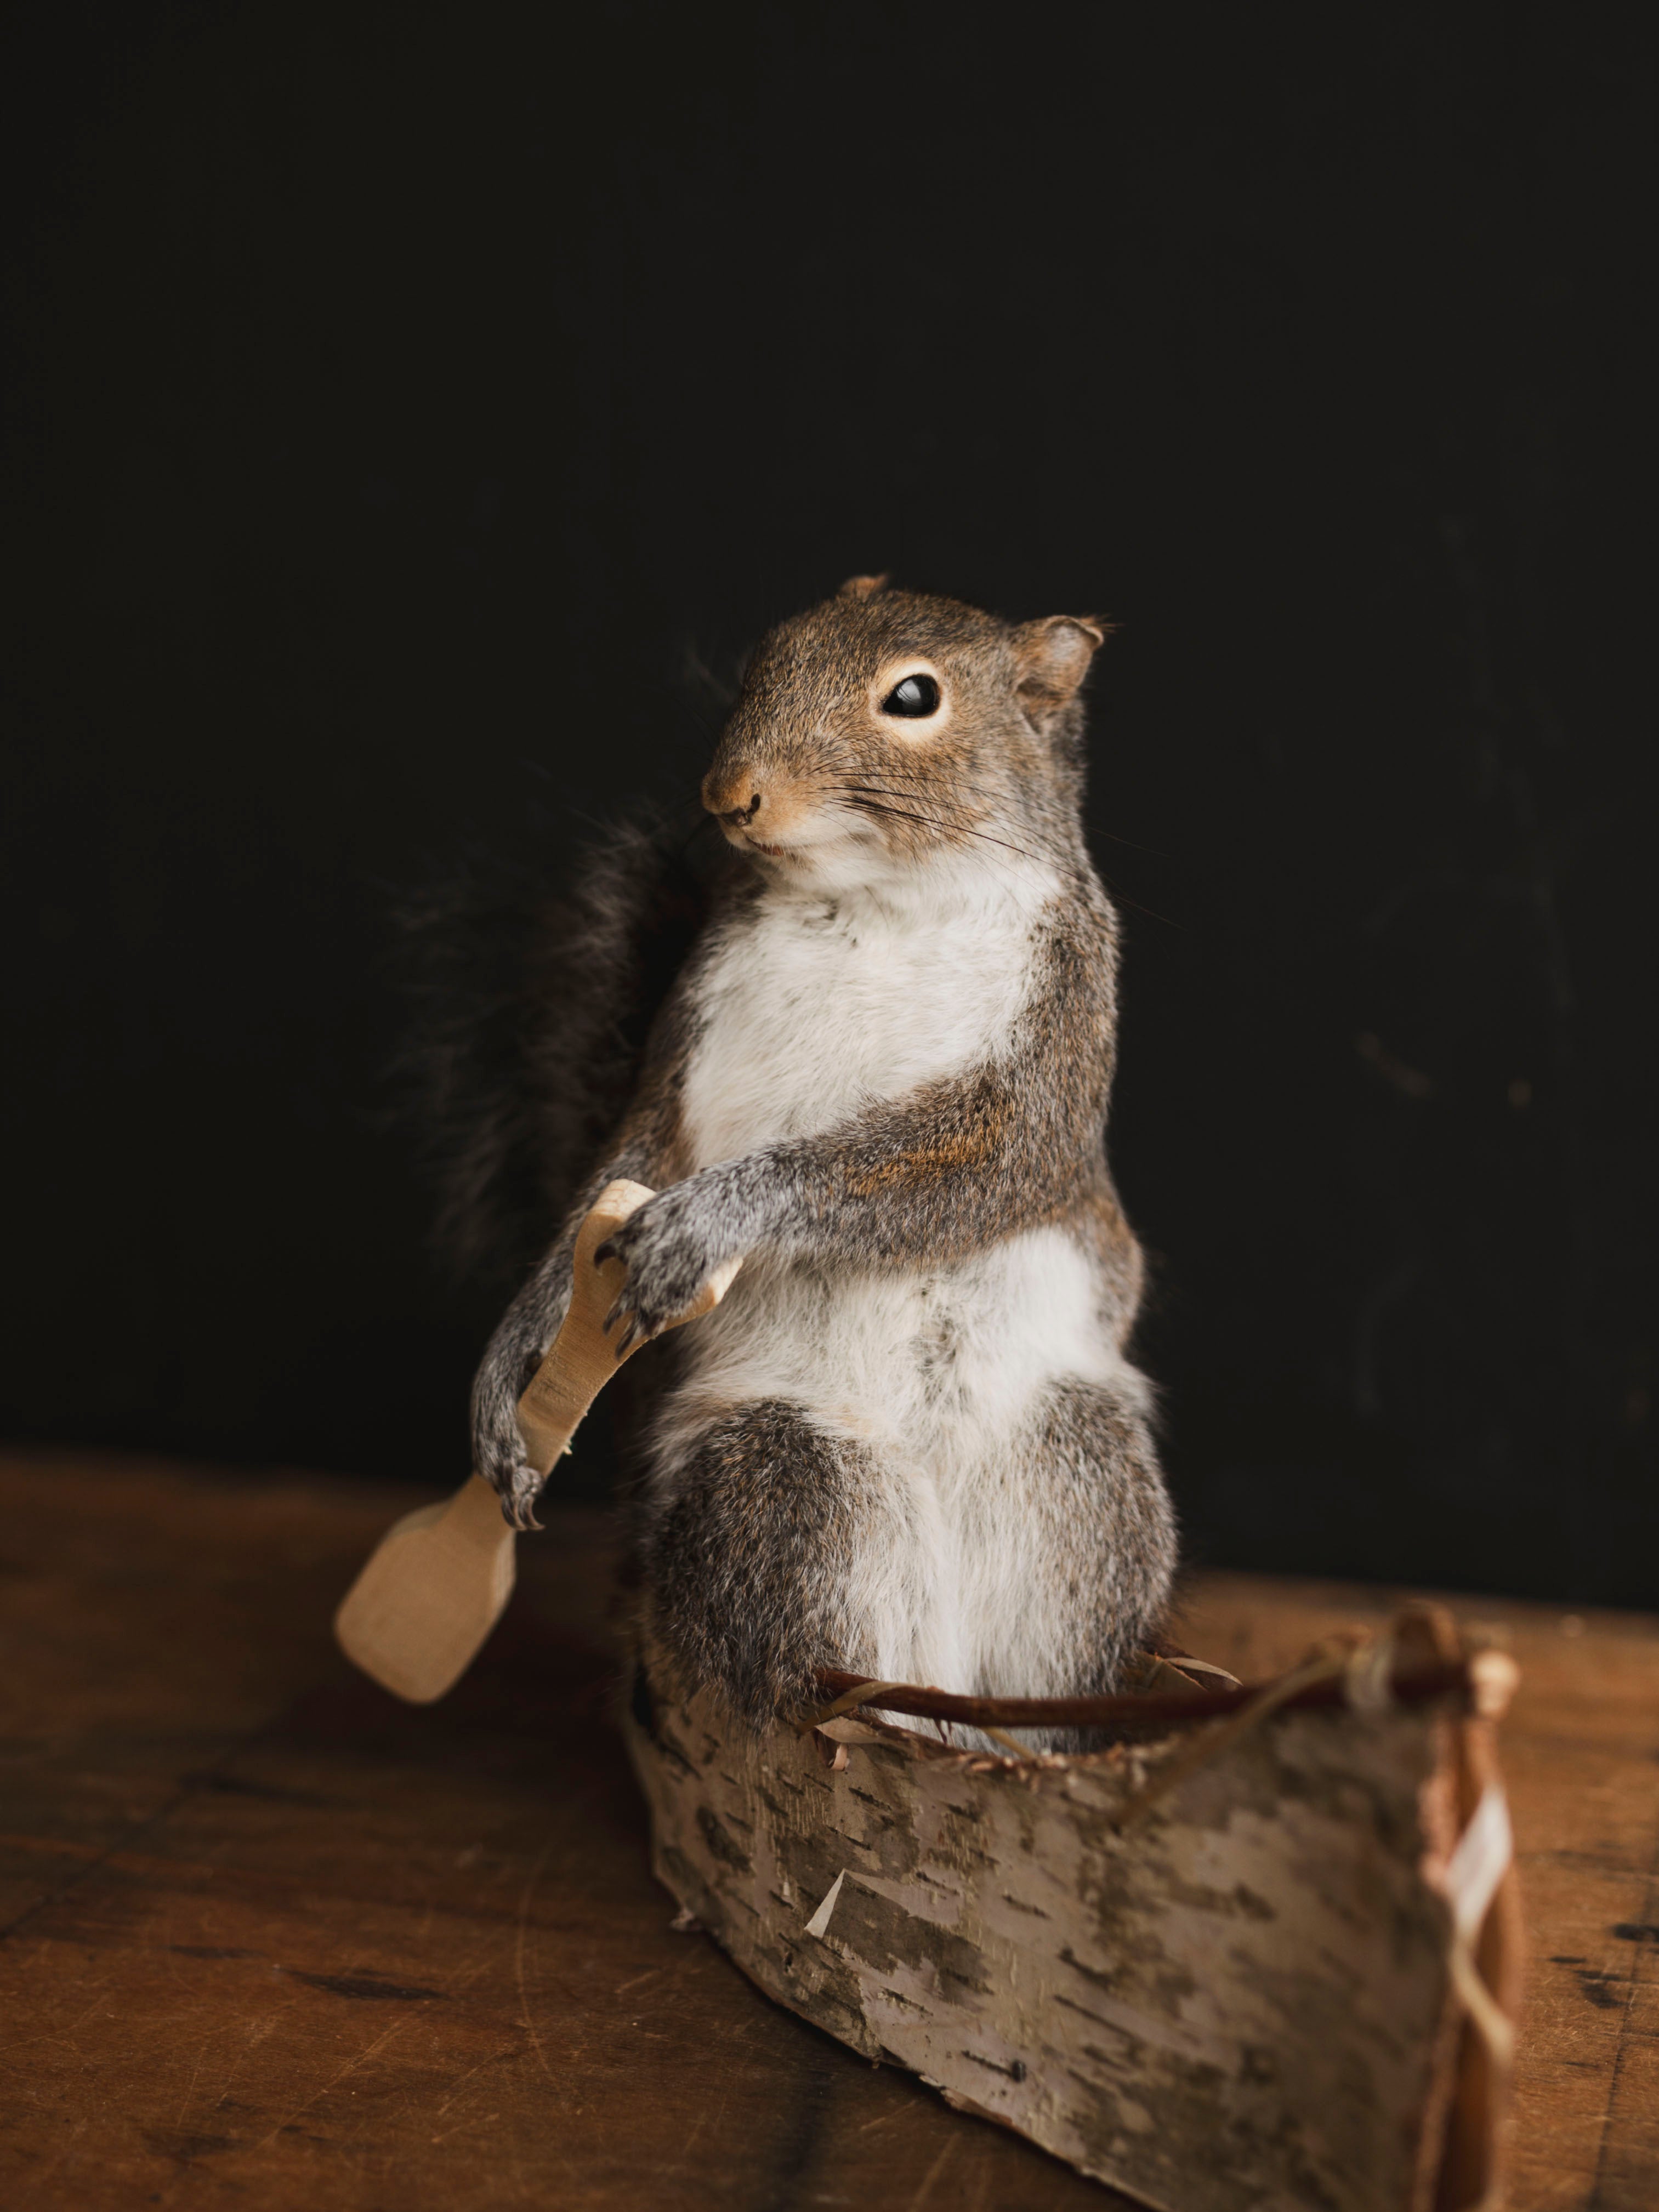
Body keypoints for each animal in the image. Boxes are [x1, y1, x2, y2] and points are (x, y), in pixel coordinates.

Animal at [452, 575, 1176, 1734]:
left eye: (916, 697)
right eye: (766, 657)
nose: (729, 792)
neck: (878, 900)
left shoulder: (1049, 1060)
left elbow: (965, 1161)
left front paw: (711, 1222)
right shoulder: (681, 1062)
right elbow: (616, 1178)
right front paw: (511, 1361)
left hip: (1081, 1479)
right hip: (779, 1476)